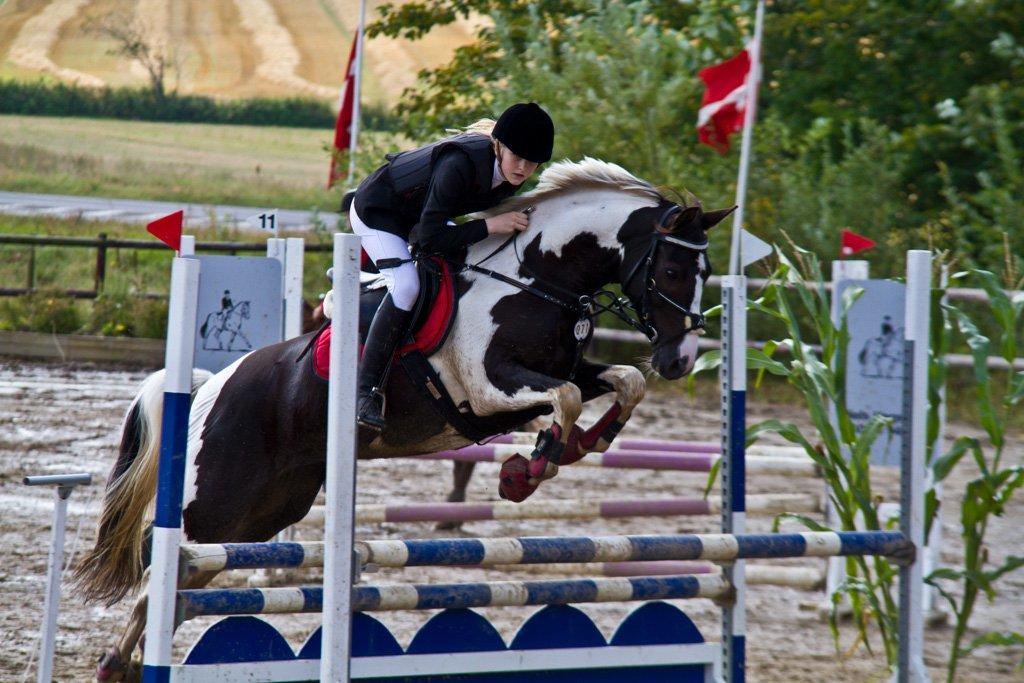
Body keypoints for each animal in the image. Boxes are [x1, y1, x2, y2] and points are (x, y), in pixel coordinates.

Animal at [74, 158, 734, 681]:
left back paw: (127, 663)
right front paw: (527, 471)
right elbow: (568, 397)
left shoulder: (549, 376)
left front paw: (579, 445)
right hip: (217, 505)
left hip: (262, 514)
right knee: (161, 573)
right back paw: (115, 664)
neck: (537, 279)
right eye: (673, 271)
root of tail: (211, 387)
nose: (680, 359)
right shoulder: (488, 389)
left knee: (184, 584)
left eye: (706, 275)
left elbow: (619, 383)